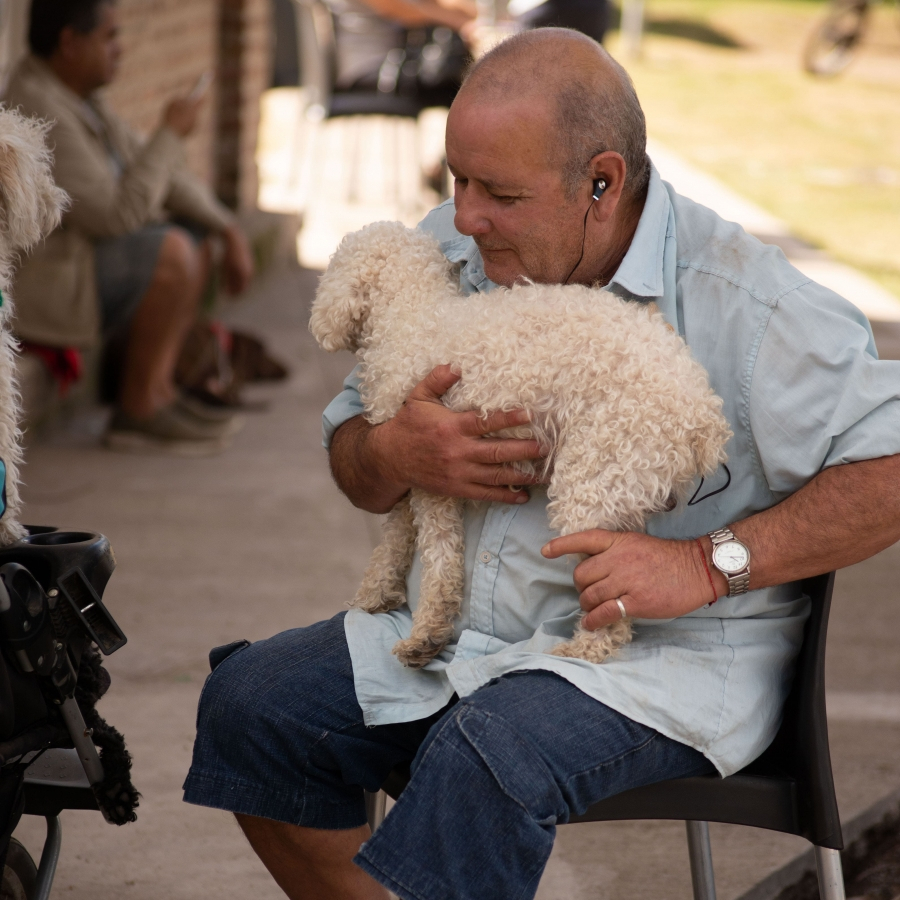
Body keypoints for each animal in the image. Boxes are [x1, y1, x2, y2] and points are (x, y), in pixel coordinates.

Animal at [310, 218, 732, 668]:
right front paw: (375, 592)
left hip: (595, 474)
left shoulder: (431, 470)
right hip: (625, 478)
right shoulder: (404, 459)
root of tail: (702, 412)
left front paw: (425, 633)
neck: (412, 310)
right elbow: (395, 534)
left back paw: (584, 648)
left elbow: (439, 554)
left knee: (613, 587)